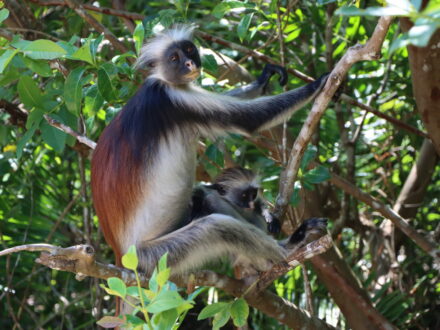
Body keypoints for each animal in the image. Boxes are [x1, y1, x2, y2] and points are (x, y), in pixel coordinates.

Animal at [91, 25, 328, 274]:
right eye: (174, 58)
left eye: (188, 50)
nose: (189, 63)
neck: (161, 81)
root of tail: (121, 255)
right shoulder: (173, 98)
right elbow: (250, 119)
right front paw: (320, 82)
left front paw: (263, 78)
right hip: (154, 256)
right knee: (217, 227)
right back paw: (288, 247)